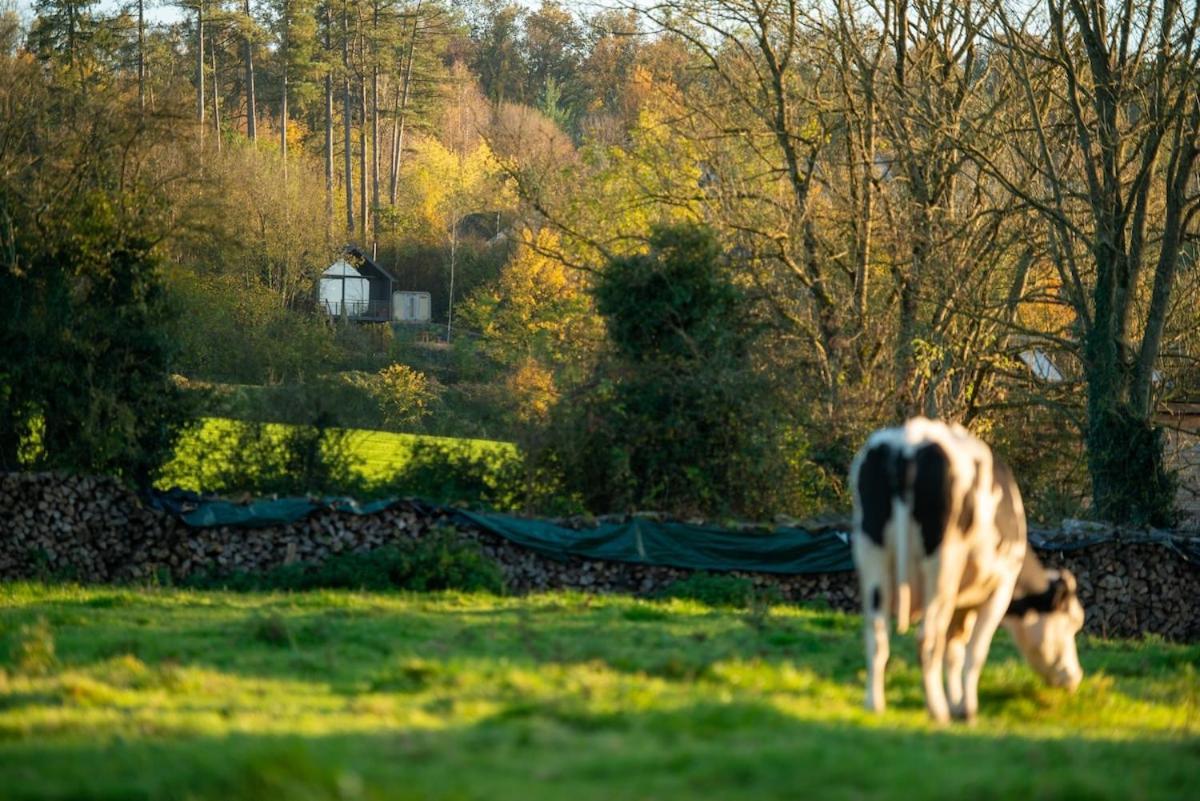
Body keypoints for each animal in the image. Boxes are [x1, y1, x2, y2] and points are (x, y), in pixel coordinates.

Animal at [844, 422, 1089, 724]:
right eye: (1073, 622)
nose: (1075, 676)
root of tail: (910, 443)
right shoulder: (998, 591)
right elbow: (975, 652)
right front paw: (967, 709)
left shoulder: (962, 604)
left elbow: (954, 651)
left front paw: (957, 702)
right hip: (942, 568)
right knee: (927, 640)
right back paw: (936, 710)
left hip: (873, 558)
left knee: (877, 636)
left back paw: (875, 704)